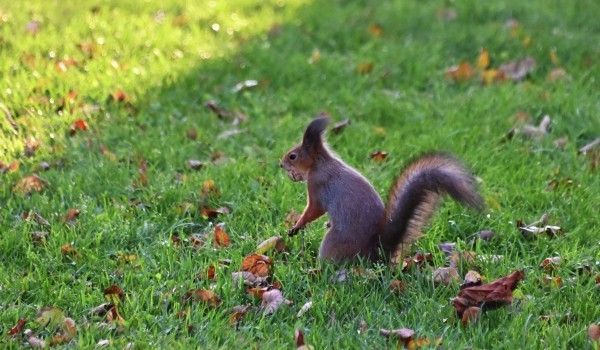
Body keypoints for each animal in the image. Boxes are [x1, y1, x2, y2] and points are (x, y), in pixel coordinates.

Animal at [280, 116, 482, 264]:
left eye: (293, 156)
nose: (280, 164)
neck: (319, 163)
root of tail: (376, 252)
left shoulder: (317, 185)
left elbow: (314, 209)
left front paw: (297, 225)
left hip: (334, 242)